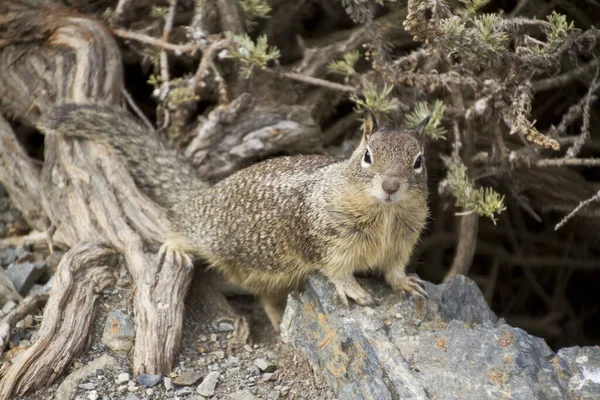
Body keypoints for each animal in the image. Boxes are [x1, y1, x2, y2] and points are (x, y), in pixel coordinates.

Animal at [41, 103, 432, 332]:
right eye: (367, 156)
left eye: (418, 161)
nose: (391, 186)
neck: (386, 214)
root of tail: (206, 194)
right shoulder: (329, 238)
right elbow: (336, 269)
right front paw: (353, 289)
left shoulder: (403, 242)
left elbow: (394, 269)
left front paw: (407, 284)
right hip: (209, 233)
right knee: (181, 223)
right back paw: (175, 247)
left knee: (269, 300)